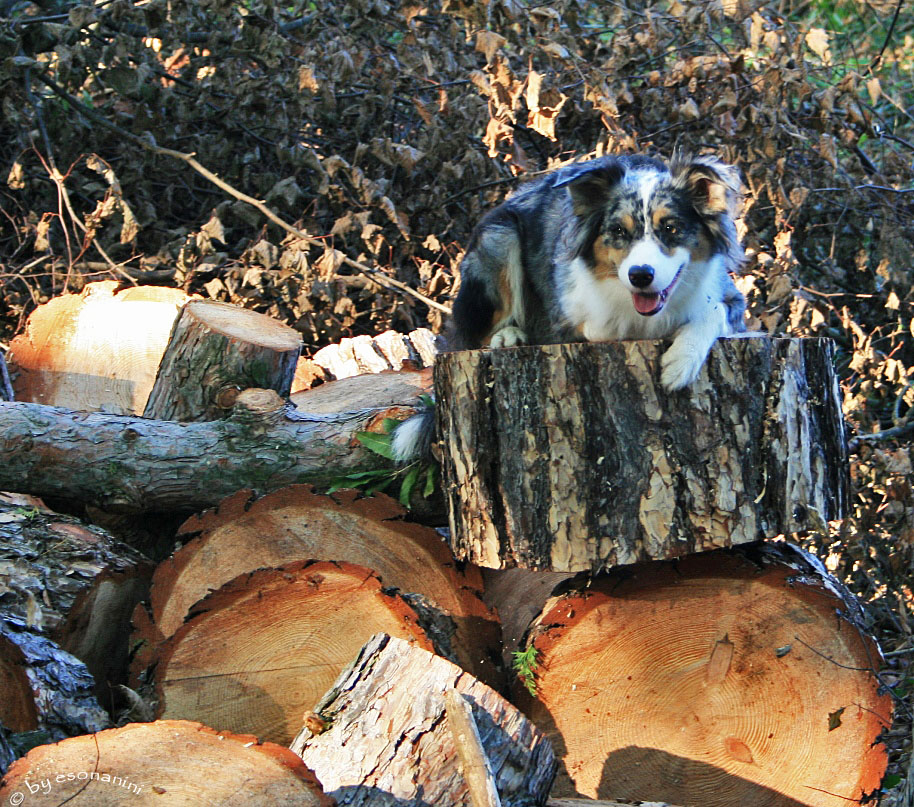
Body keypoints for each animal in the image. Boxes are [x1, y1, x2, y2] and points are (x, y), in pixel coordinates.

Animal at [390, 151, 740, 460]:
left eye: (670, 228)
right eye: (618, 231)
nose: (640, 275)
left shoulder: (730, 298)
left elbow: (713, 311)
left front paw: (681, 362)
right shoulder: (565, 316)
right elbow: (605, 323)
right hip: (499, 237)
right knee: (479, 333)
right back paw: (508, 336)